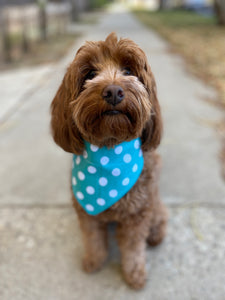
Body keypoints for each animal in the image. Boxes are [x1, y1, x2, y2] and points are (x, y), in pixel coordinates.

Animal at [50, 32, 167, 288]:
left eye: (128, 70)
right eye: (90, 74)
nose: (113, 91)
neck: (109, 151)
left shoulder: (137, 214)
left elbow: (133, 248)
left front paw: (134, 274)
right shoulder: (88, 214)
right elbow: (93, 238)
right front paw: (94, 261)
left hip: (153, 204)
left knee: (160, 218)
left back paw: (156, 236)